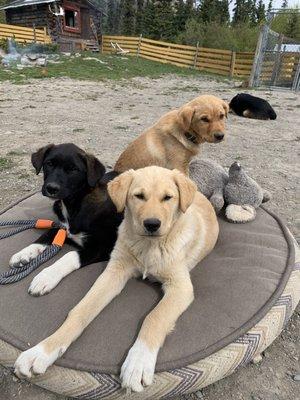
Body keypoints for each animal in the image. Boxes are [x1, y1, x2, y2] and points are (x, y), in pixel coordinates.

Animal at [9, 142, 122, 296]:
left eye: (73, 169)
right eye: (49, 164)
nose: (51, 188)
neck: (74, 205)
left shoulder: (104, 247)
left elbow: (70, 255)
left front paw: (46, 277)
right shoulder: (63, 227)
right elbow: (46, 235)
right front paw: (24, 253)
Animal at [13, 167, 218, 392]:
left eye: (168, 198)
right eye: (139, 196)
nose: (152, 224)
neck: (148, 246)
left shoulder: (180, 287)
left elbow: (154, 317)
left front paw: (138, 362)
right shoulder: (114, 272)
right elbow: (80, 311)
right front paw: (41, 351)